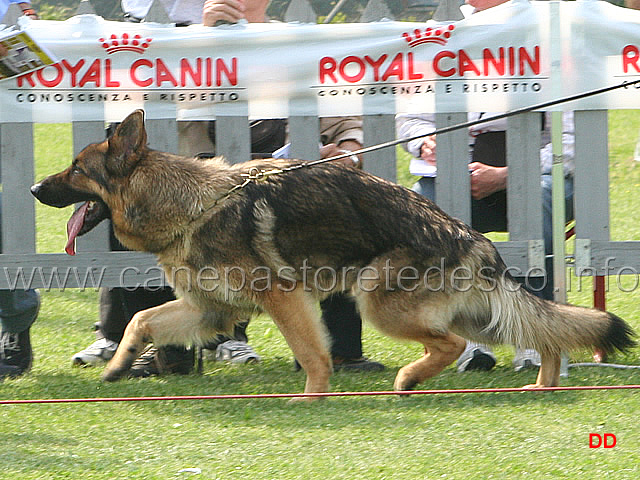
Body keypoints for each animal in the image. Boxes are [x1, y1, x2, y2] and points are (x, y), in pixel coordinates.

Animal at [31, 110, 636, 396]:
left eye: (77, 170)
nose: (36, 188)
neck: (194, 202)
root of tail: (471, 236)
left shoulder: (282, 300)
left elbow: (314, 353)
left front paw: (311, 398)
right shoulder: (208, 309)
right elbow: (140, 322)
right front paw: (118, 365)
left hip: (383, 304)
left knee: (452, 344)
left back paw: (408, 380)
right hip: (474, 313)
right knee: (542, 333)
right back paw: (542, 383)